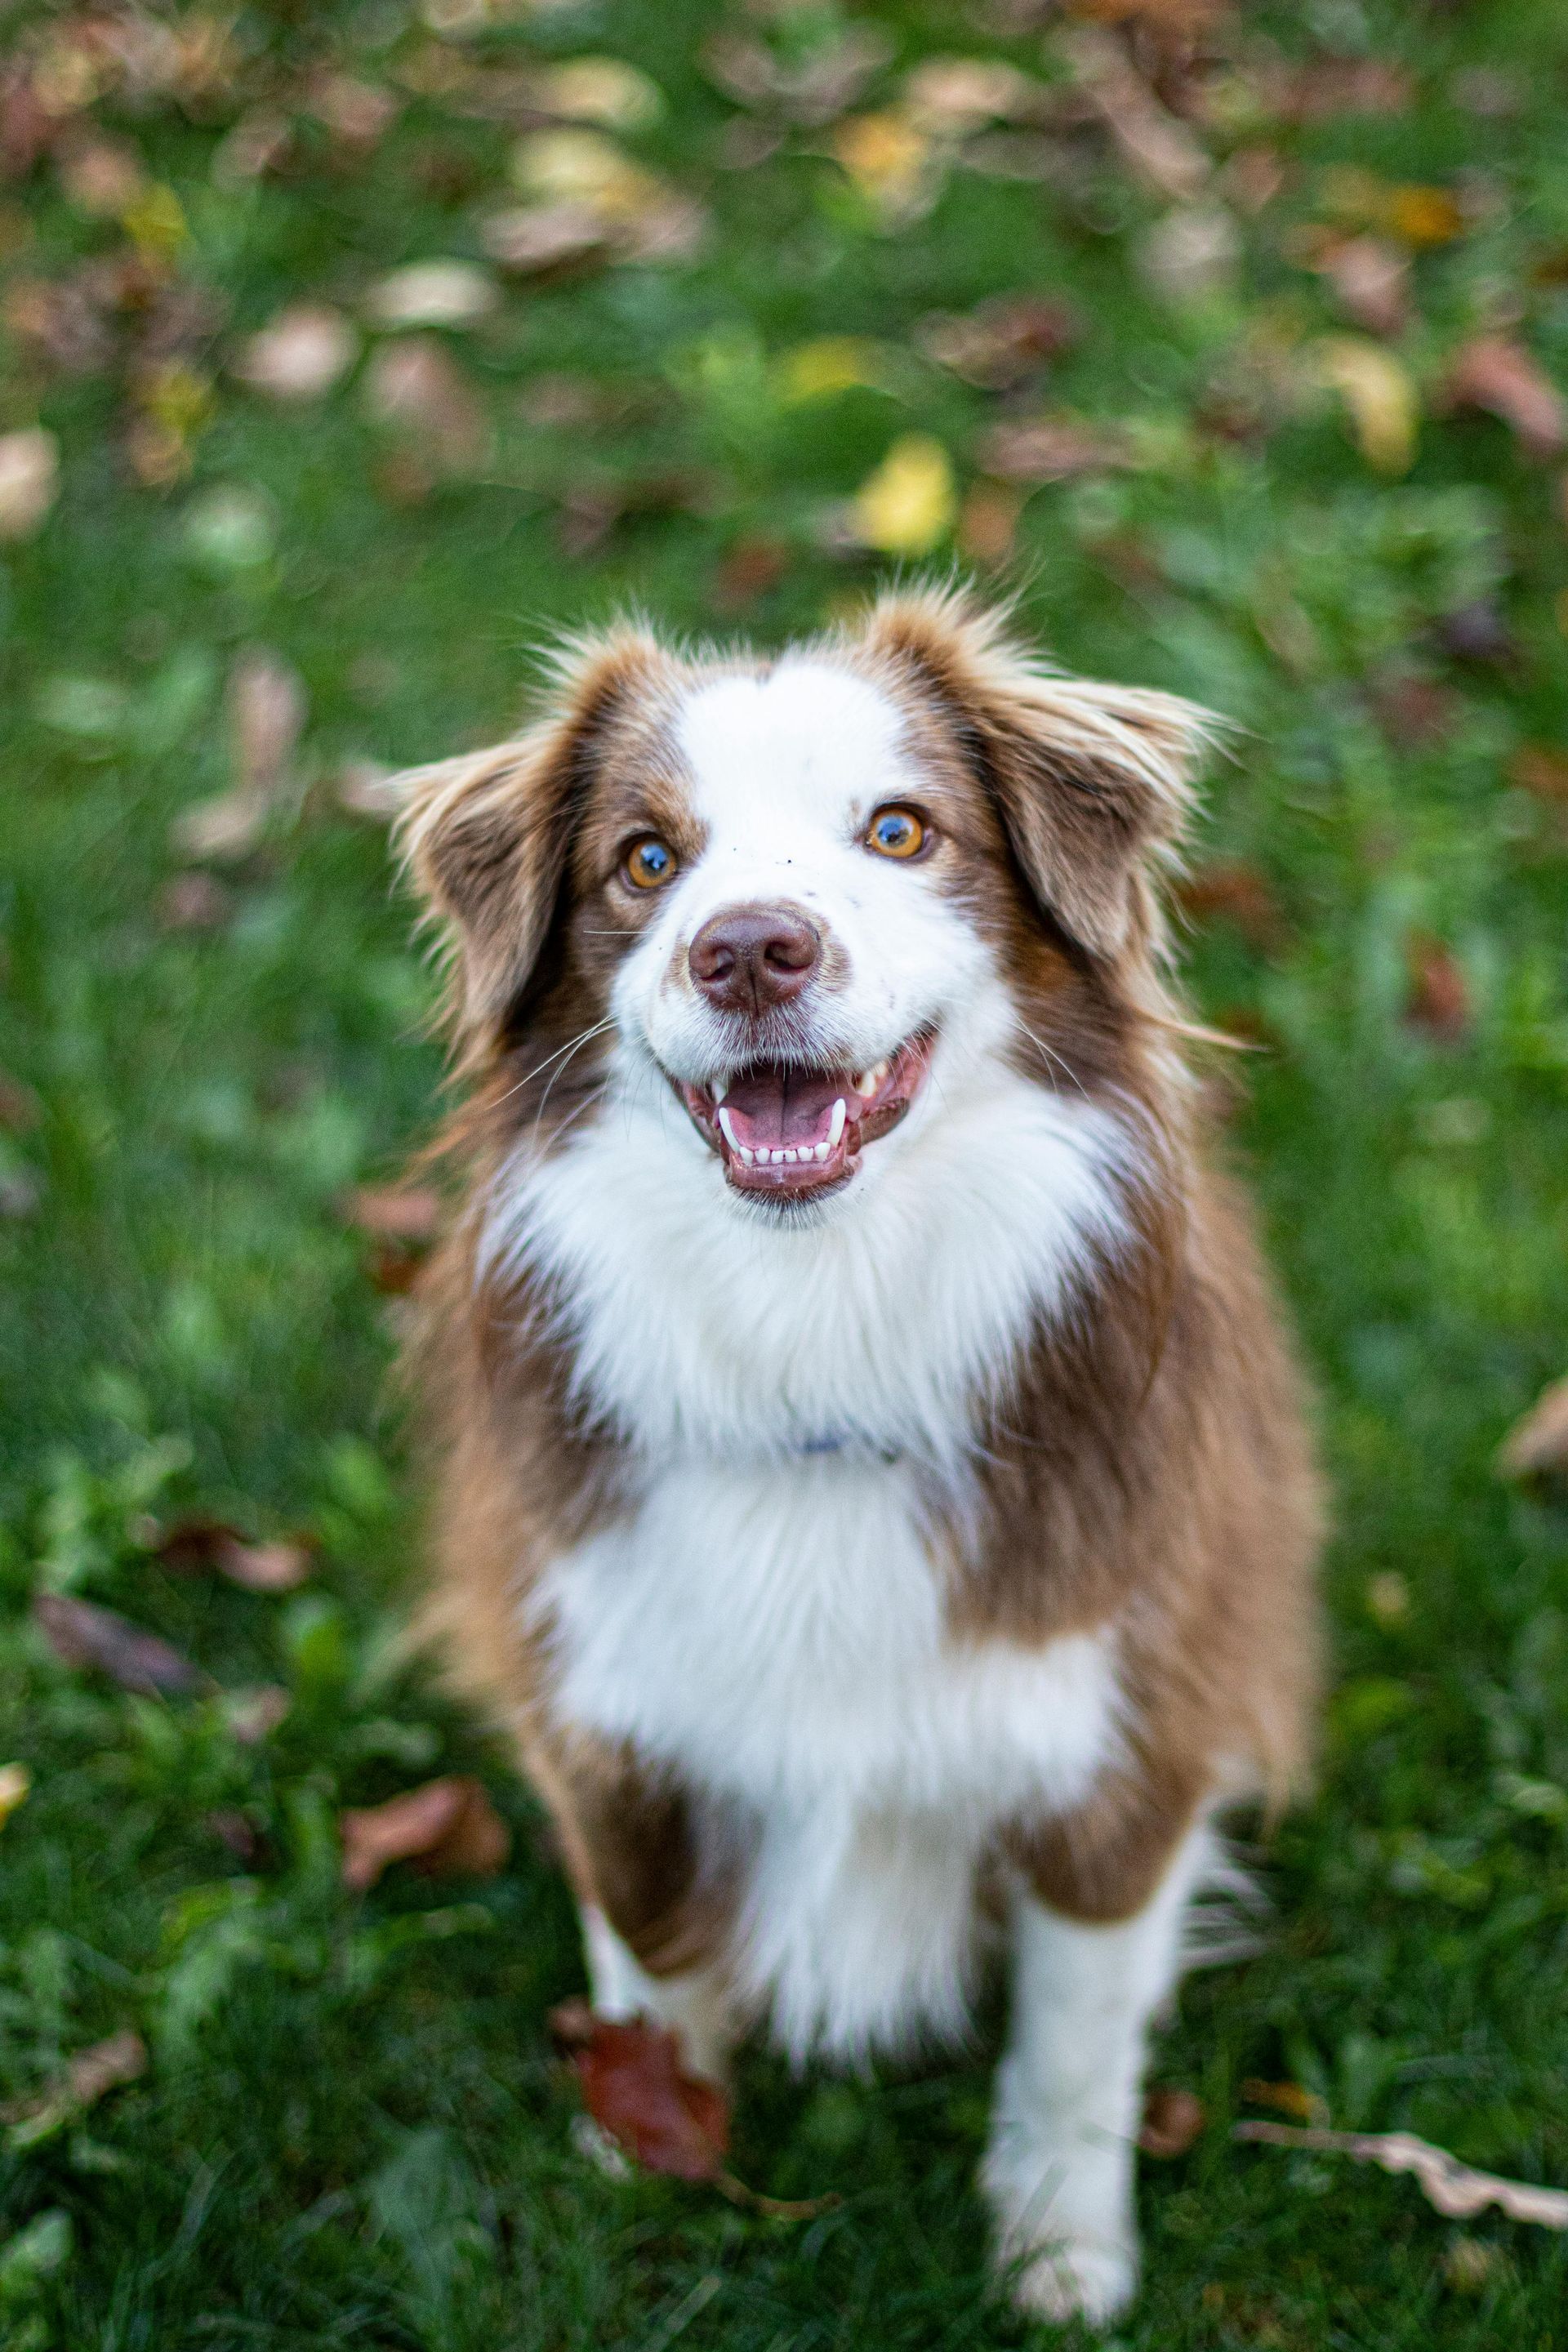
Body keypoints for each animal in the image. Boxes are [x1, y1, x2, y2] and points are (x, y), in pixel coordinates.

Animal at [394, 592, 1325, 2332]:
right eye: (646, 858)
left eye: (900, 831)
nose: (752, 946)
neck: (820, 1342)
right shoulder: (608, 1700)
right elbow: (647, 1953)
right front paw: (651, 2148)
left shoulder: (1127, 1736)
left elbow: (1073, 2044)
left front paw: (1060, 2254)